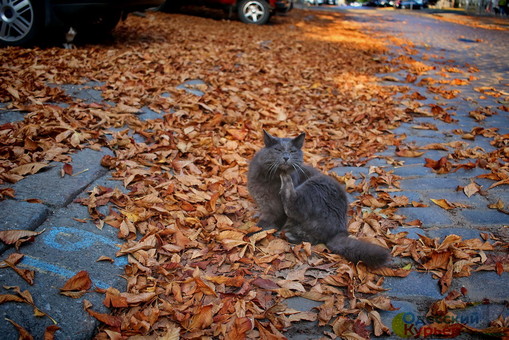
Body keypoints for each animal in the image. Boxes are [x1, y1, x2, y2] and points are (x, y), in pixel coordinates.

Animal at [246, 130, 388, 268]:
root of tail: (340, 230)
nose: (286, 157)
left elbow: (270, 221)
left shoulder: (277, 210)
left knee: (294, 206)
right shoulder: (266, 205)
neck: (269, 178)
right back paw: (289, 234)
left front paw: (251, 233)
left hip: (315, 184)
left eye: (292, 151)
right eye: (278, 150)